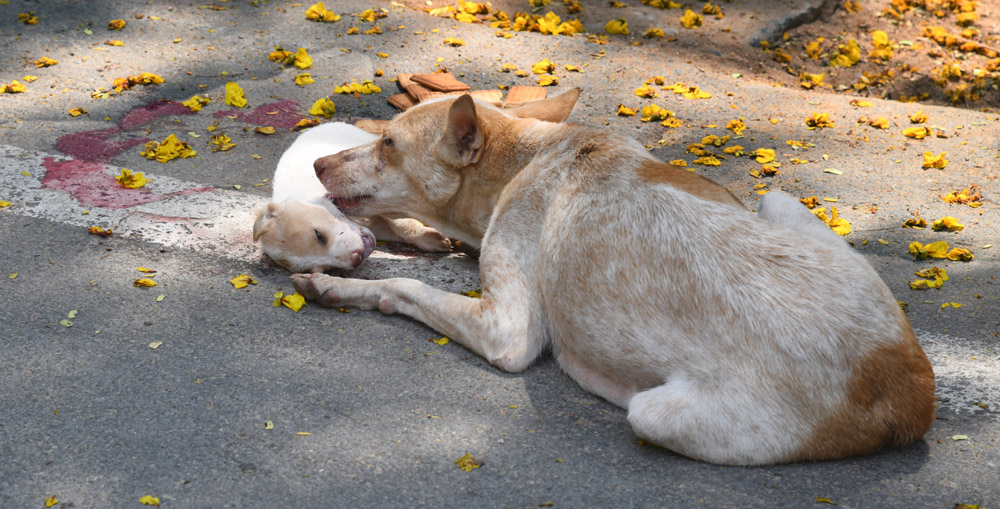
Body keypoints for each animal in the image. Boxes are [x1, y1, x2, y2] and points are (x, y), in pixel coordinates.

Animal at [292, 91, 936, 464]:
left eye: (388, 143)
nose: (317, 162)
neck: (531, 156)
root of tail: (910, 389)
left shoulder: (507, 333)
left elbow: (404, 286)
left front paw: (340, 286)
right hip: (776, 202)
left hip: (655, 412)